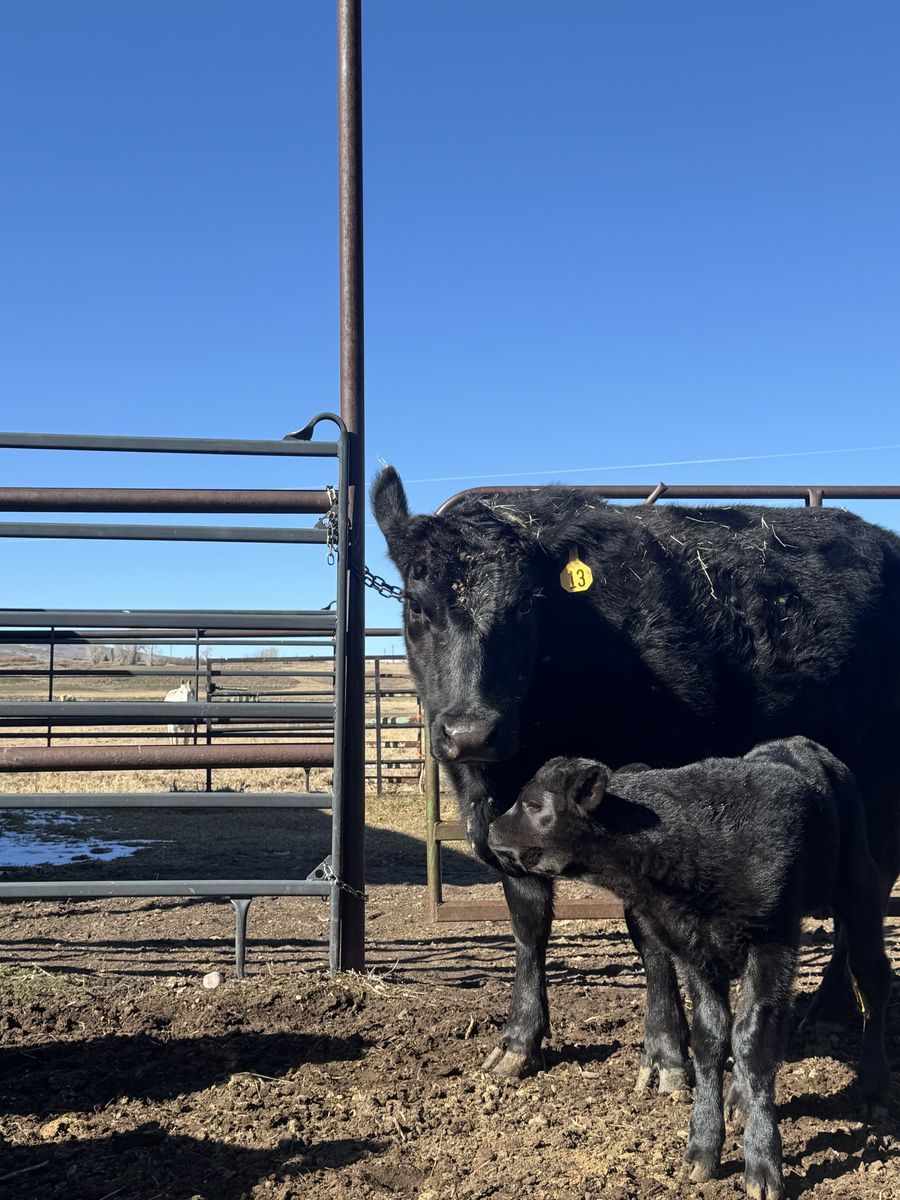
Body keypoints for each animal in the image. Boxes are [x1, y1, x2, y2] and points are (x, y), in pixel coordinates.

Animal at [371, 467, 900, 1088]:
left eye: (525, 609)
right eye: (415, 605)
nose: (472, 732)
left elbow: (645, 930)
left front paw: (667, 1053)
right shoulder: (503, 823)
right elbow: (528, 923)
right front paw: (519, 1041)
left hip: (880, 783)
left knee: (869, 889)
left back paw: (832, 1005)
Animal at [487, 742, 891, 1198]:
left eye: (533, 804)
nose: (490, 831)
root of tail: (806, 747)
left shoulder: (771, 943)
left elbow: (753, 1041)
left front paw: (763, 1164)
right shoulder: (694, 952)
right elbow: (712, 1036)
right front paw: (702, 1147)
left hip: (861, 894)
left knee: (873, 982)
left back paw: (874, 1088)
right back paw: (739, 1100)